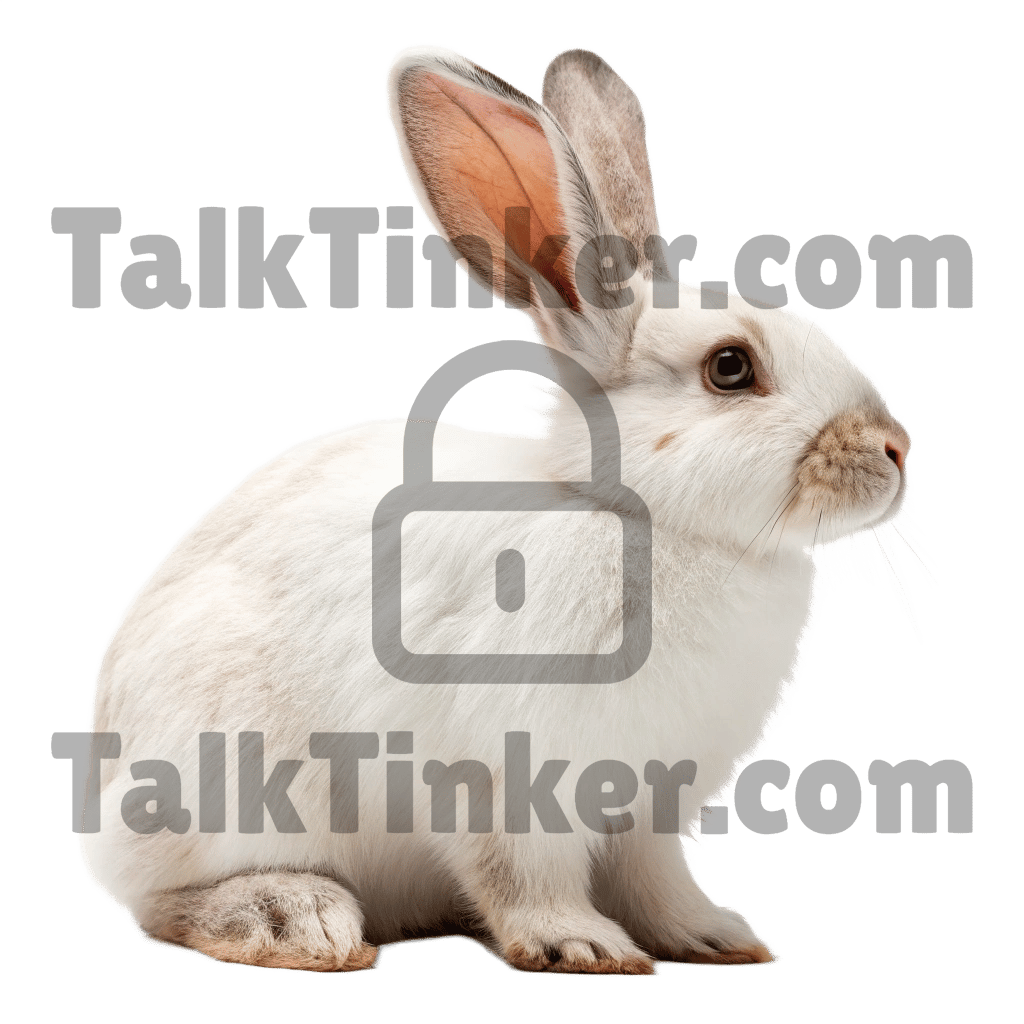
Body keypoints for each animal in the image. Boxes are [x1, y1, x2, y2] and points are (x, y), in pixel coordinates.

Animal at [77, 43, 926, 976]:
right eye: (731, 368)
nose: (895, 448)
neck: (642, 518)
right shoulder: (504, 774)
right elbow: (522, 871)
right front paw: (581, 946)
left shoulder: (653, 803)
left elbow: (659, 881)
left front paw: (715, 937)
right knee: (162, 901)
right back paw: (295, 920)